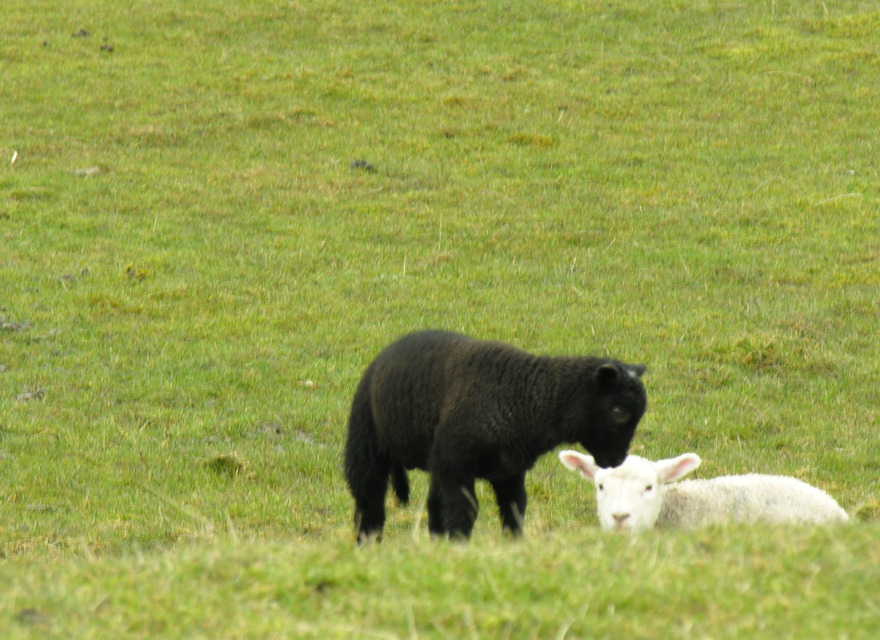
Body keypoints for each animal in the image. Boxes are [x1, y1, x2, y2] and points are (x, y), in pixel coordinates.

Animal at [344, 330, 648, 542]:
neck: (526, 399)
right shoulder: (457, 467)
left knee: (432, 508)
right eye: (618, 412)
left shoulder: (508, 472)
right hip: (367, 443)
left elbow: (514, 510)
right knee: (369, 504)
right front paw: (460, 547)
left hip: (437, 461)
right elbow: (464, 512)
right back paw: (367, 545)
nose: (617, 460)